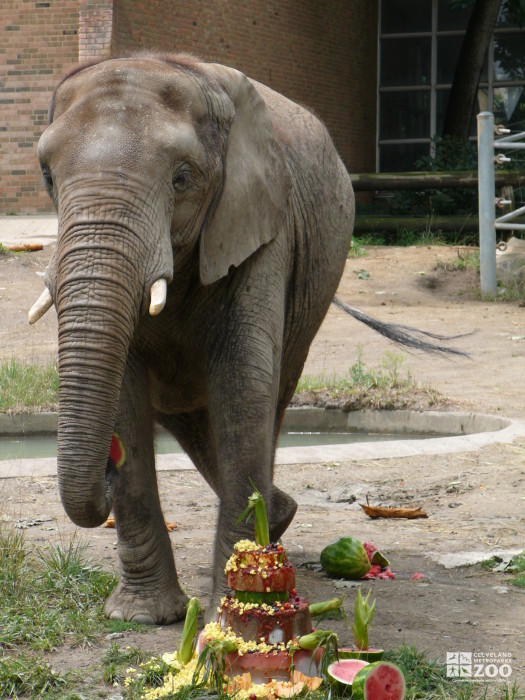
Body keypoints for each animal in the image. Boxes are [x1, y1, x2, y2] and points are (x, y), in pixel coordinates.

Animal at [29, 52, 462, 628]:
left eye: (182, 178)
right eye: (47, 176)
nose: (106, 466)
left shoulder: (262, 227)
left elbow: (242, 383)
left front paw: (232, 612)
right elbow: (124, 391)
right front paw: (143, 617)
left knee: (269, 397)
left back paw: (273, 528)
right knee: (185, 413)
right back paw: (276, 521)